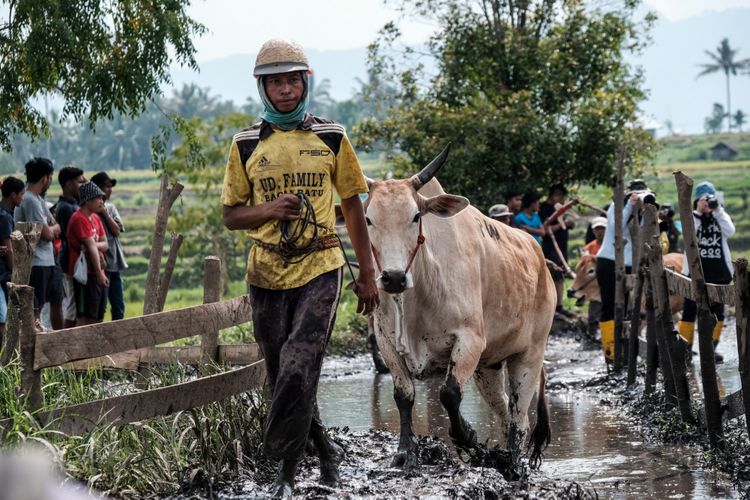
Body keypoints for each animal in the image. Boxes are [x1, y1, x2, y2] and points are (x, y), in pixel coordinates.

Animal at [366, 146, 560, 468]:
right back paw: (501, 458)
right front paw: (405, 452)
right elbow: (403, 395)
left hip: (530, 354)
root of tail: (541, 260)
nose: (393, 277)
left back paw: (514, 465)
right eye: (368, 219)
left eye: (416, 216)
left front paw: (467, 437)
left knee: (519, 419)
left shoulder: (469, 340)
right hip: (489, 366)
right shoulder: (386, 343)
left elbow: (449, 393)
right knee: (503, 411)